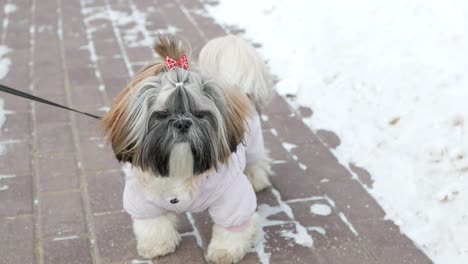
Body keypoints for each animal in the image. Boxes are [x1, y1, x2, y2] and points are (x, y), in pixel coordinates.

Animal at [100, 34, 272, 262]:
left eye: (199, 114)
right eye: (162, 115)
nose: (182, 123)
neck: (180, 167)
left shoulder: (231, 196)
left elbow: (231, 227)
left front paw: (225, 252)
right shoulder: (142, 199)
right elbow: (153, 224)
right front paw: (157, 245)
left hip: (252, 142)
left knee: (256, 161)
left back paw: (257, 179)